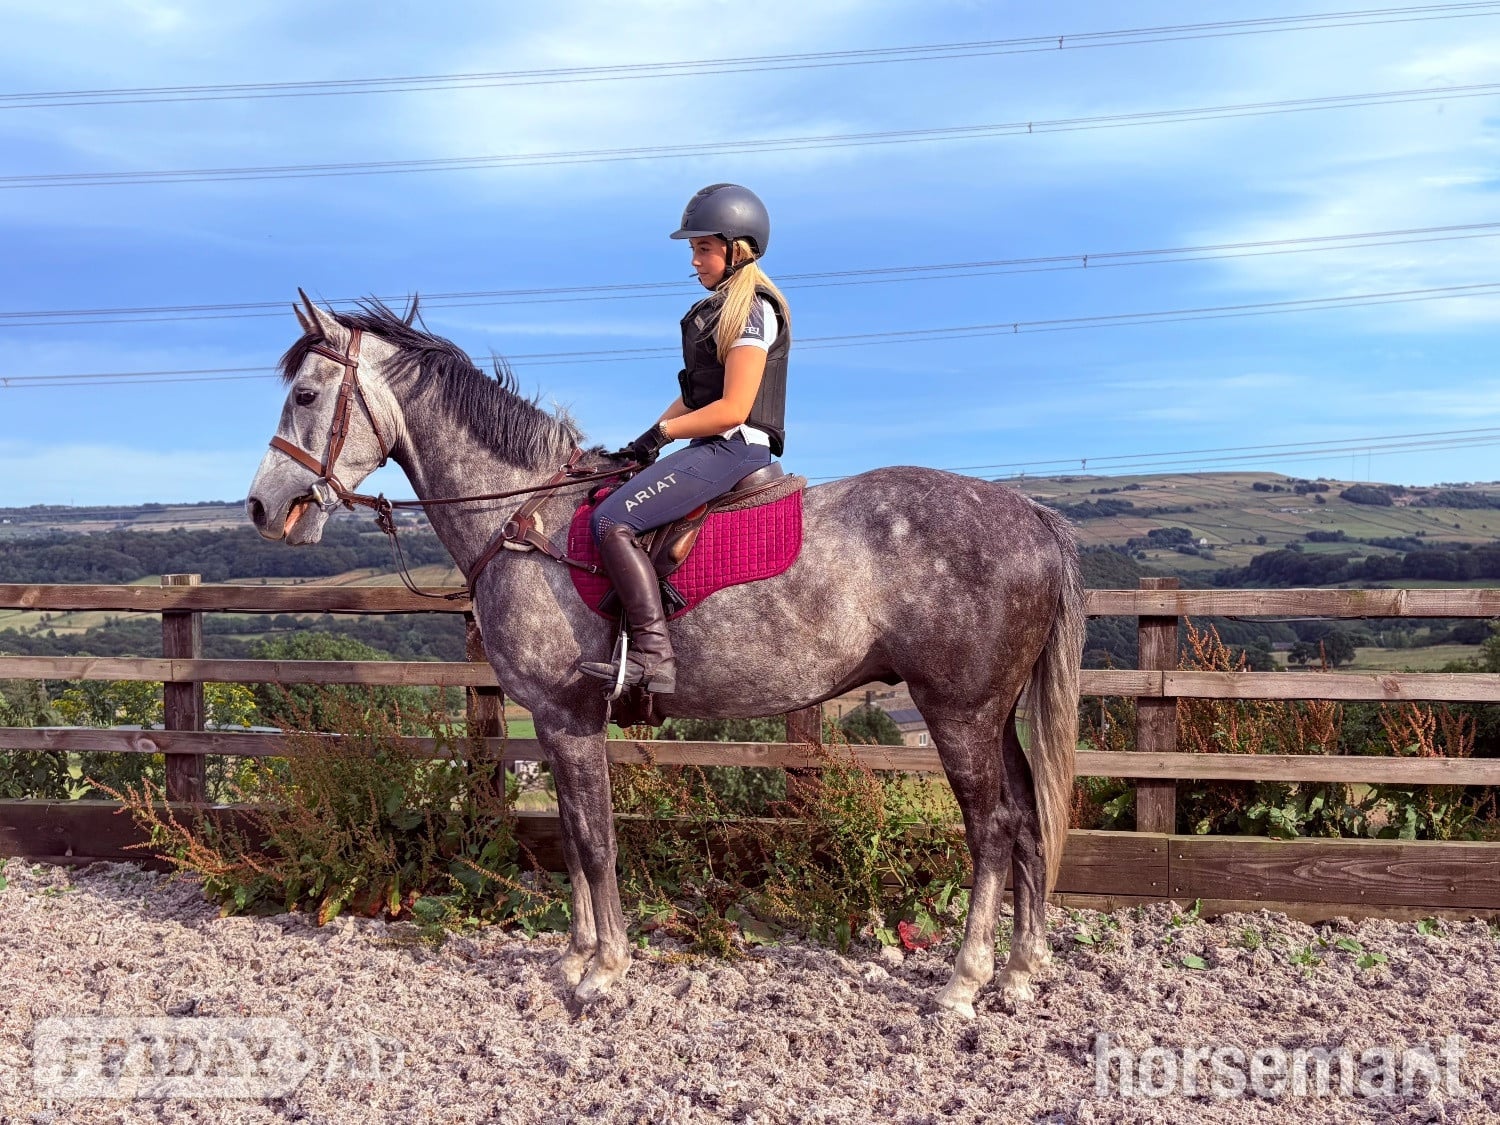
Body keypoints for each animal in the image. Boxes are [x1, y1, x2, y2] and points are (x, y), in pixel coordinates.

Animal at [246, 294, 1085, 1019]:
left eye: (308, 396)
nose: (263, 507)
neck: (523, 515)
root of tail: (1032, 515)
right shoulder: (552, 722)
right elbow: (571, 835)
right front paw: (576, 954)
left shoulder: (570, 716)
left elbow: (595, 839)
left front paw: (605, 969)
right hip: (993, 714)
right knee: (1028, 817)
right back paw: (1019, 971)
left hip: (958, 712)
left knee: (992, 827)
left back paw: (966, 980)